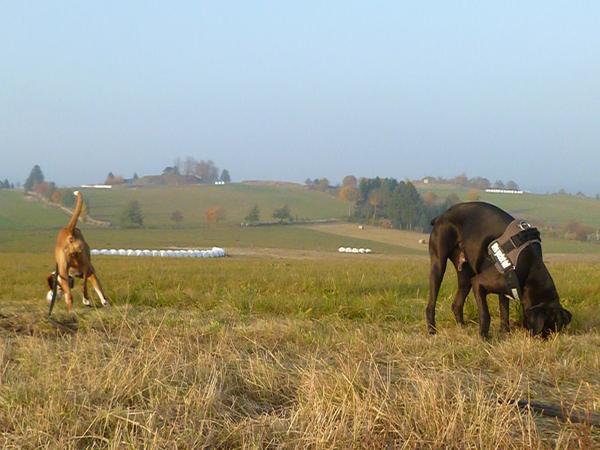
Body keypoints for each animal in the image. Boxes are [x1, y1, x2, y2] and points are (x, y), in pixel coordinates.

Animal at [426, 201, 572, 338]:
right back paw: (432, 330)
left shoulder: (506, 289)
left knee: (456, 305)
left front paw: (505, 333)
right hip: (439, 266)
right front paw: (484, 338)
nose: (543, 339)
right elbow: (485, 315)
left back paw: (462, 328)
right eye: (545, 330)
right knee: (431, 305)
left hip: (465, 276)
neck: (530, 266)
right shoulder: (478, 283)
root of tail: (442, 215)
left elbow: (504, 314)